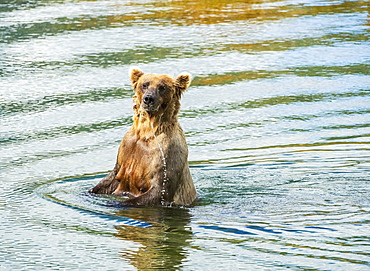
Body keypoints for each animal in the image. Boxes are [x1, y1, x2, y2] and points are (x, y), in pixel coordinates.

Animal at [89, 67, 197, 206]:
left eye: (162, 87)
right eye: (144, 84)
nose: (149, 98)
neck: (147, 132)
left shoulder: (167, 155)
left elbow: (159, 190)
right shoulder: (127, 149)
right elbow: (111, 179)